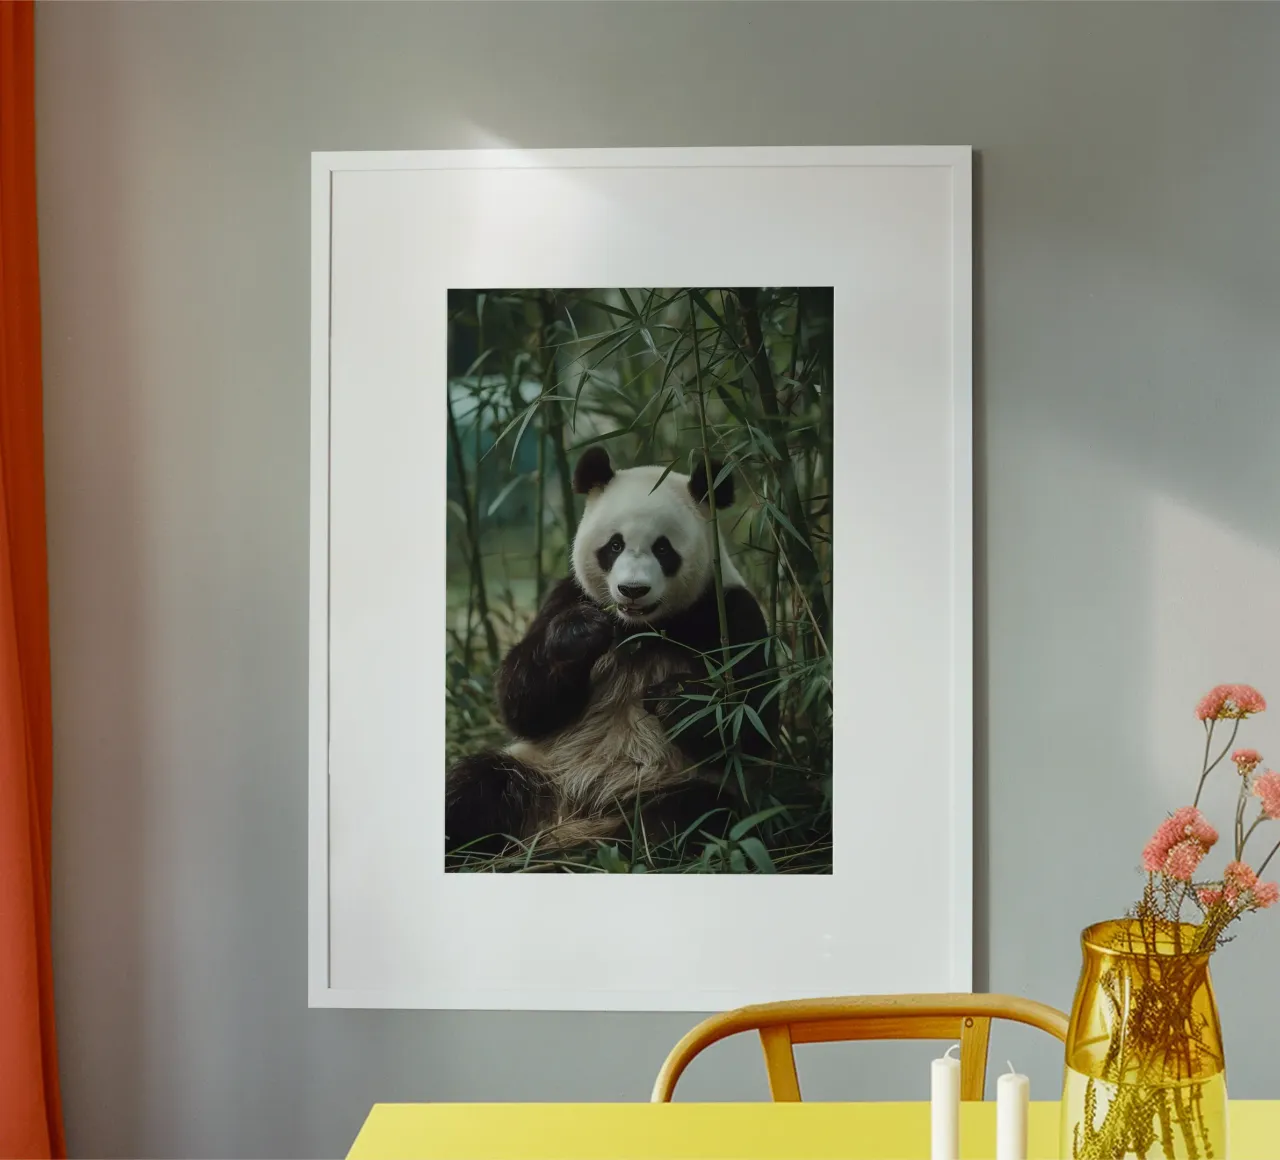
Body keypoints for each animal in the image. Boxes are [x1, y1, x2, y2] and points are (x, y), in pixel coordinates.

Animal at [445, 444, 778, 860]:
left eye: (663, 548)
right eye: (614, 545)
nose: (633, 590)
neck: (638, 628)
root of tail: (570, 818)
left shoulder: (727, 612)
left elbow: (750, 720)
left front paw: (672, 697)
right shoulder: (567, 596)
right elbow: (521, 703)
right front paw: (580, 634)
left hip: (665, 782)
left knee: (692, 816)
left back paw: (619, 848)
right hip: (541, 770)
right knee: (475, 785)